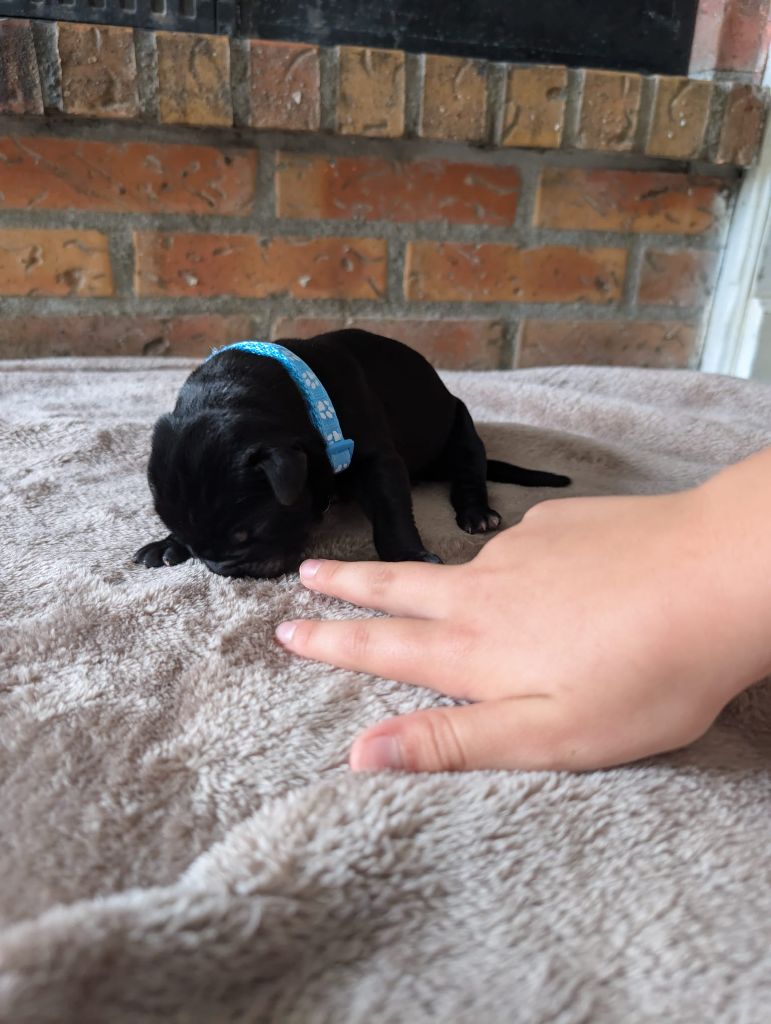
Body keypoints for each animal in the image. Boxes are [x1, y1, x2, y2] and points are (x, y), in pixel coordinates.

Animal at [134, 329, 570, 578]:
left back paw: (477, 512)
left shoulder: (378, 461)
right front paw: (167, 544)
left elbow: (392, 512)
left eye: (249, 533)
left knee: (469, 470)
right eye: (192, 544)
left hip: (461, 427)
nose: (225, 571)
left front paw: (407, 558)